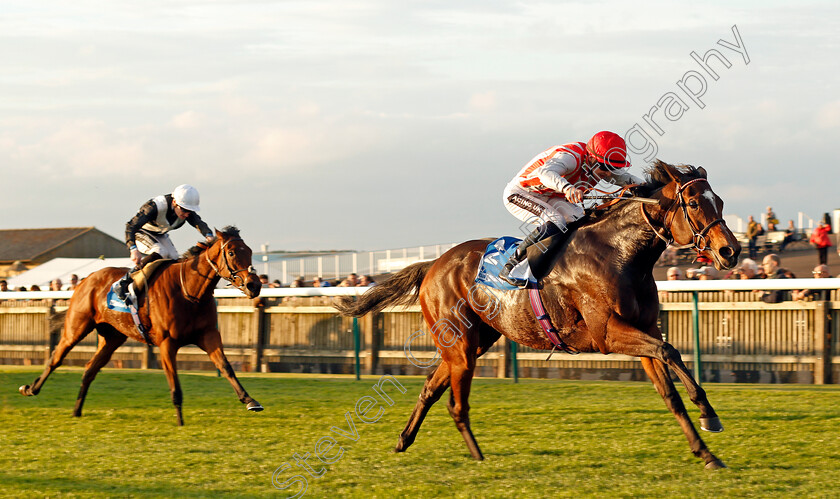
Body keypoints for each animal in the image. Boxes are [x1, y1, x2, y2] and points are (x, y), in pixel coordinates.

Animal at [19, 227, 264, 426]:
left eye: (250, 251)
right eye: (231, 252)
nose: (254, 285)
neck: (189, 291)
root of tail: (87, 278)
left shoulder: (208, 335)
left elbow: (226, 367)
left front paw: (250, 400)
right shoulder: (167, 342)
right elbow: (174, 382)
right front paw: (180, 420)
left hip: (112, 338)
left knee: (90, 369)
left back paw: (77, 411)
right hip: (76, 327)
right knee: (56, 357)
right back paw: (30, 388)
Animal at [334, 162, 740, 470]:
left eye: (719, 201)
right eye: (693, 202)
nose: (730, 251)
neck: (620, 253)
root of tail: (433, 264)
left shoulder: (643, 331)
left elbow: (669, 389)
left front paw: (706, 451)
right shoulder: (608, 333)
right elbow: (670, 352)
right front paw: (708, 413)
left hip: (475, 343)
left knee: (431, 389)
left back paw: (404, 441)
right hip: (461, 346)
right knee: (455, 403)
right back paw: (477, 456)